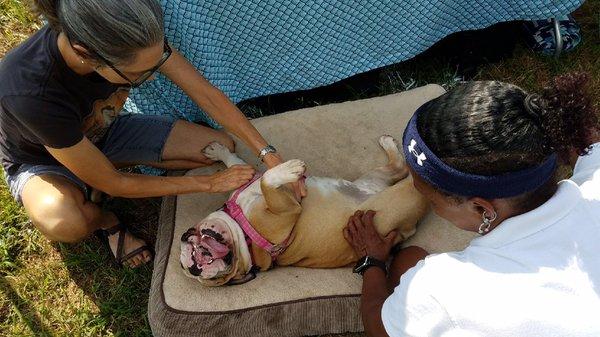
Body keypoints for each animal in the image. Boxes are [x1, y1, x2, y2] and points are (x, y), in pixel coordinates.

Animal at [178, 135, 426, 284]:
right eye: (213, 280)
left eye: (189, 238)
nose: (197, 264)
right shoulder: (285, 213)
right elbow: (267, 181)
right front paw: (289, 170)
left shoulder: (248, 180)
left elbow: (237, 165)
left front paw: (217, 151)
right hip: (396, 191)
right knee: (404, 171)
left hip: (373, 178)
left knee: (399, 168)